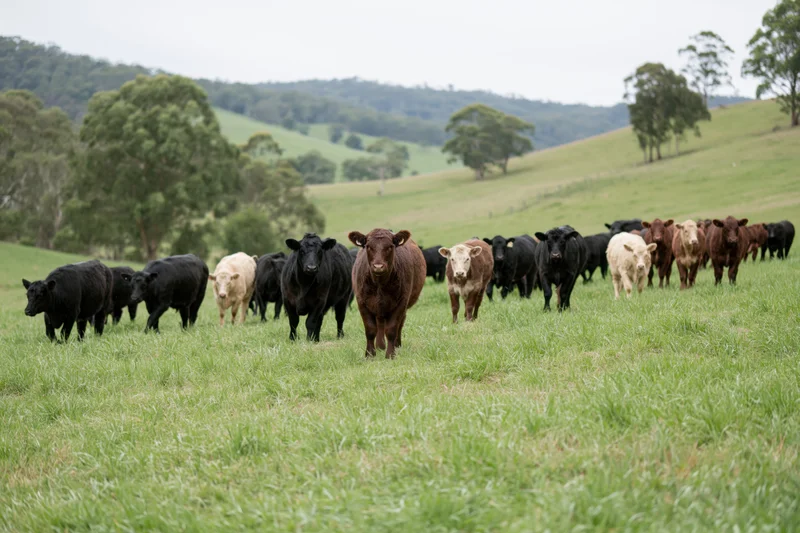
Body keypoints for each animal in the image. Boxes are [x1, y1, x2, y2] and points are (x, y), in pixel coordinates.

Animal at [348, 228, 426, 359]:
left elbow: (392, 329)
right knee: (380, 324)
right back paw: (380, 346)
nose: (378, 266)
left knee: (399, 323)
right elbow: (370, 330)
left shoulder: (401, 303)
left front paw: (390, 354)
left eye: (390, 246)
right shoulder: (362, 302)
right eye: (368, 246)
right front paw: (370, 354)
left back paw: (396, 344)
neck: (379, 284)